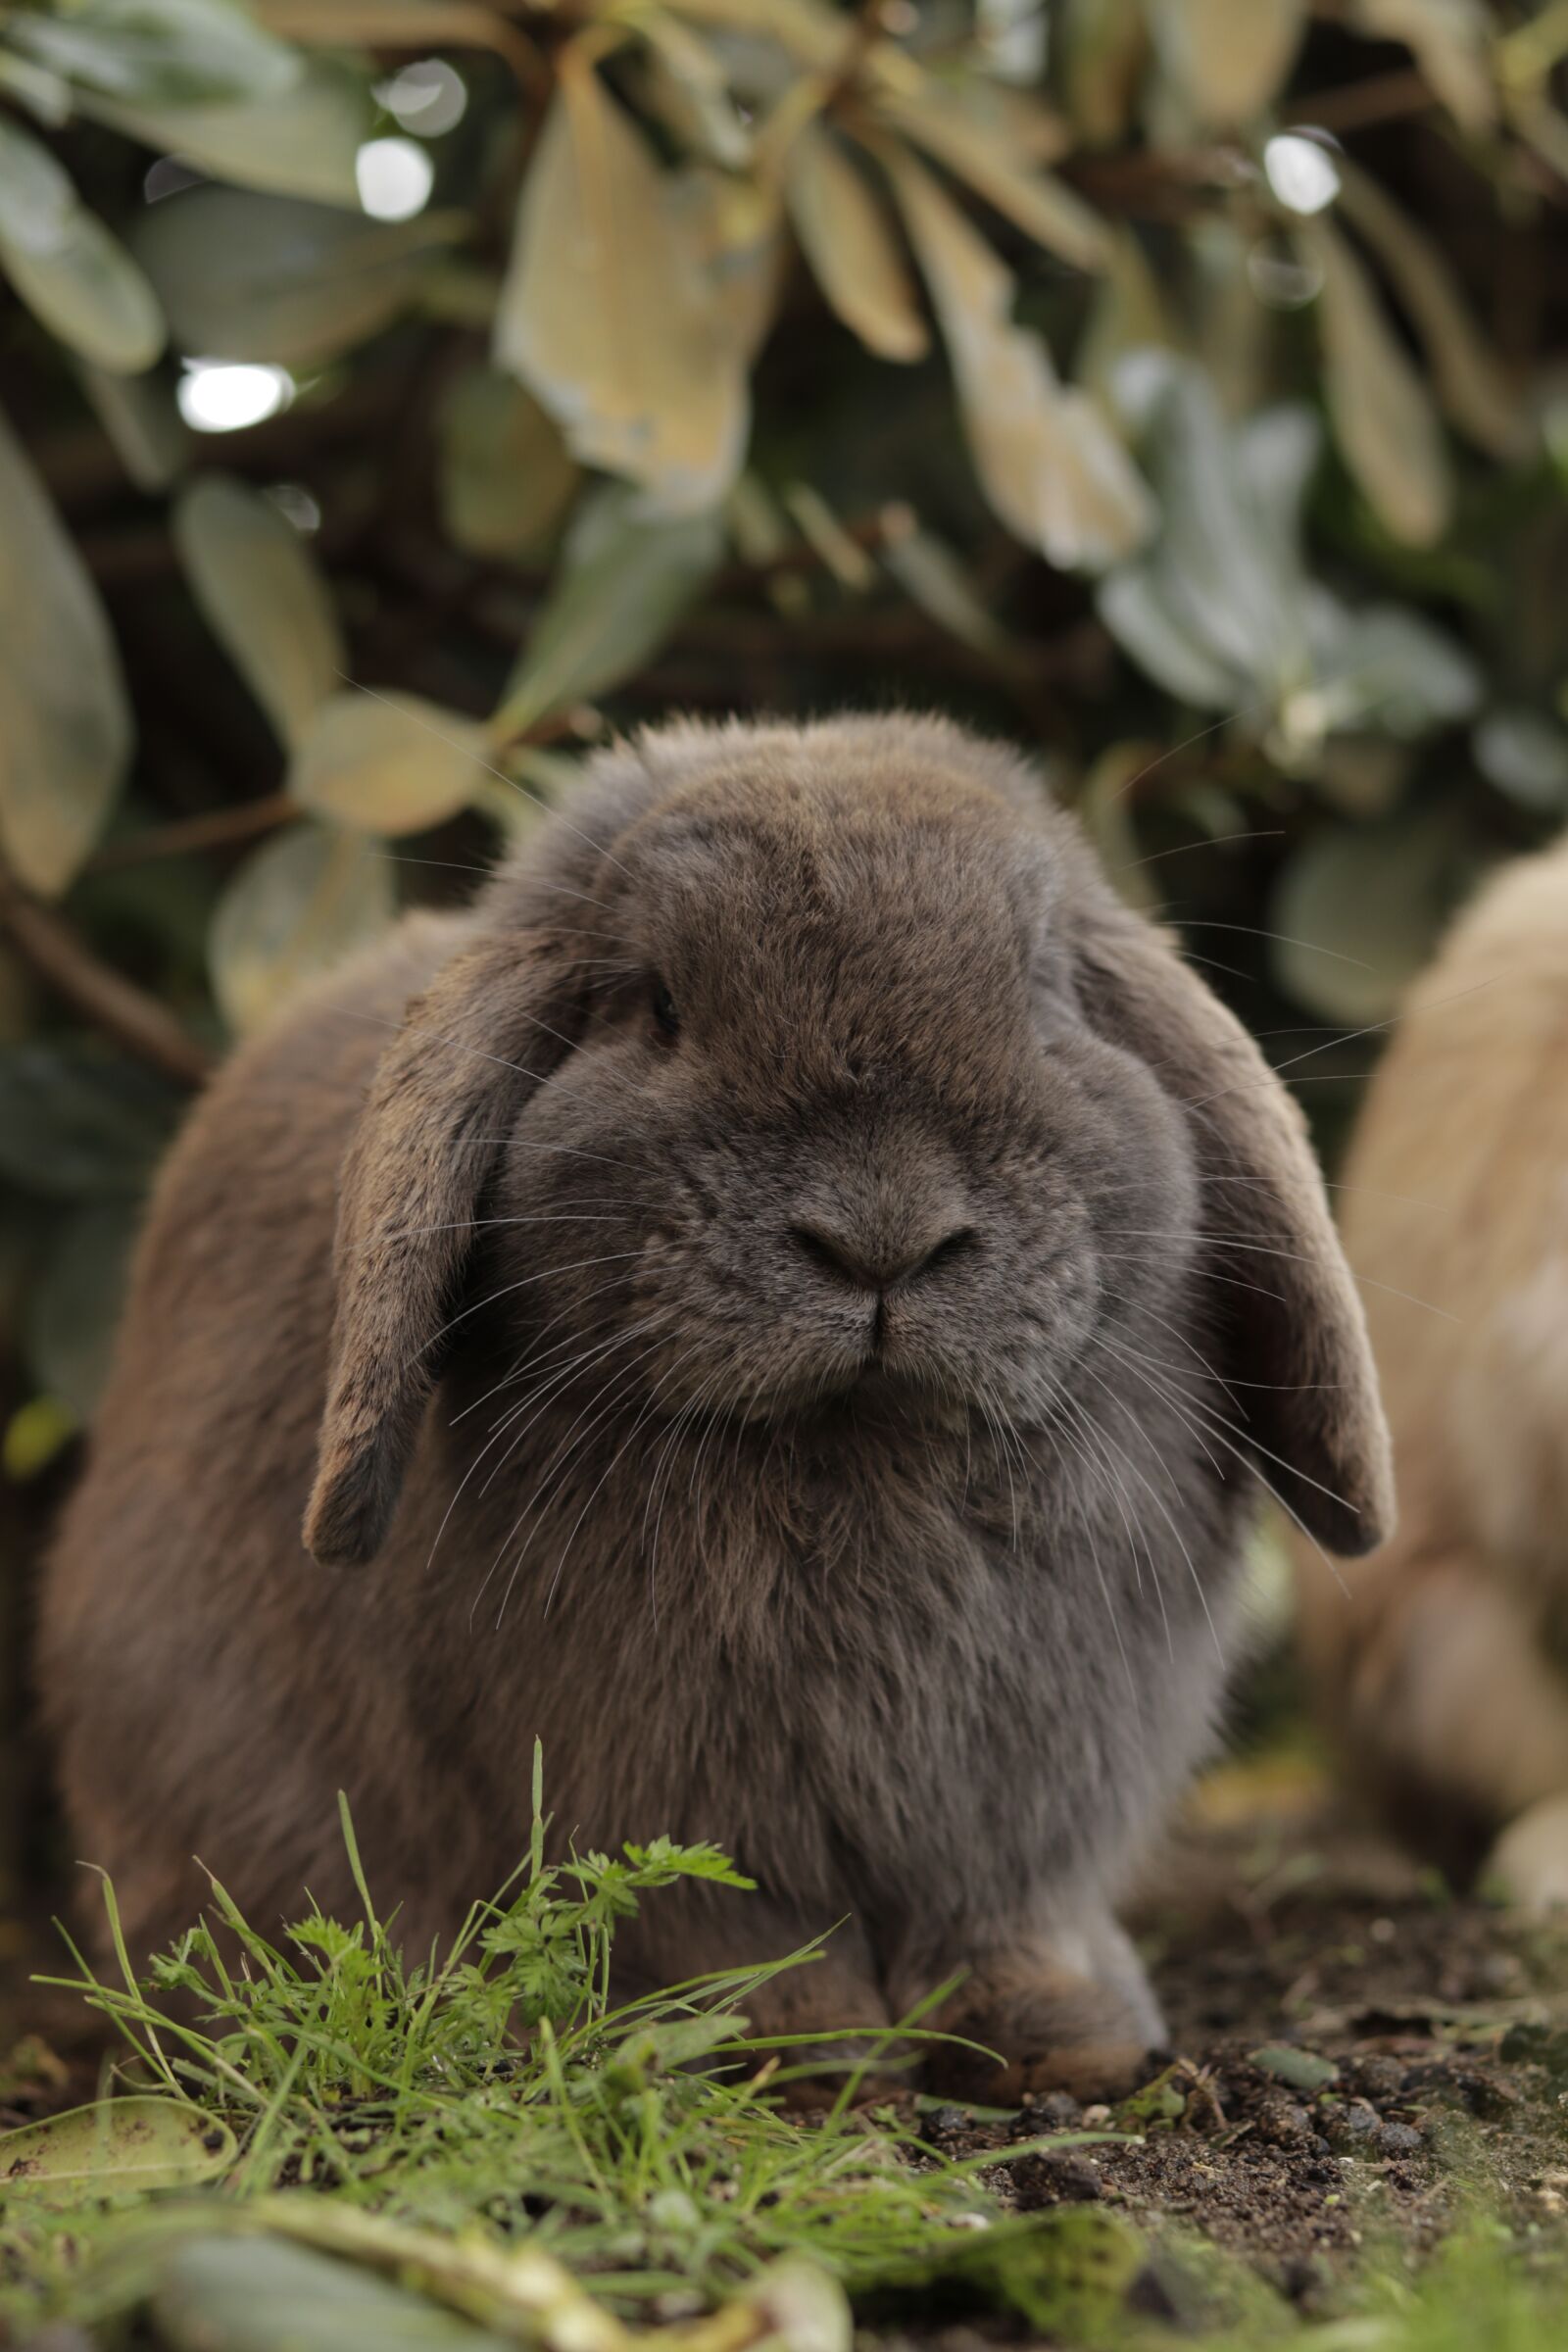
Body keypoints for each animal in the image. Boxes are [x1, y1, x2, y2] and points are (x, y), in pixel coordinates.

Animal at [39, 714, 1391, 2099]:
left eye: (1045, 993)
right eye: (656, 1003)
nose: (880, 1238)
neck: (856, 1448)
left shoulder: (1026, 1810)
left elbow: (1006, 1921)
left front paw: (1065, 2042)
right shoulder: (646, 1787)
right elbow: (725, 1924)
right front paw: (802, 2052)